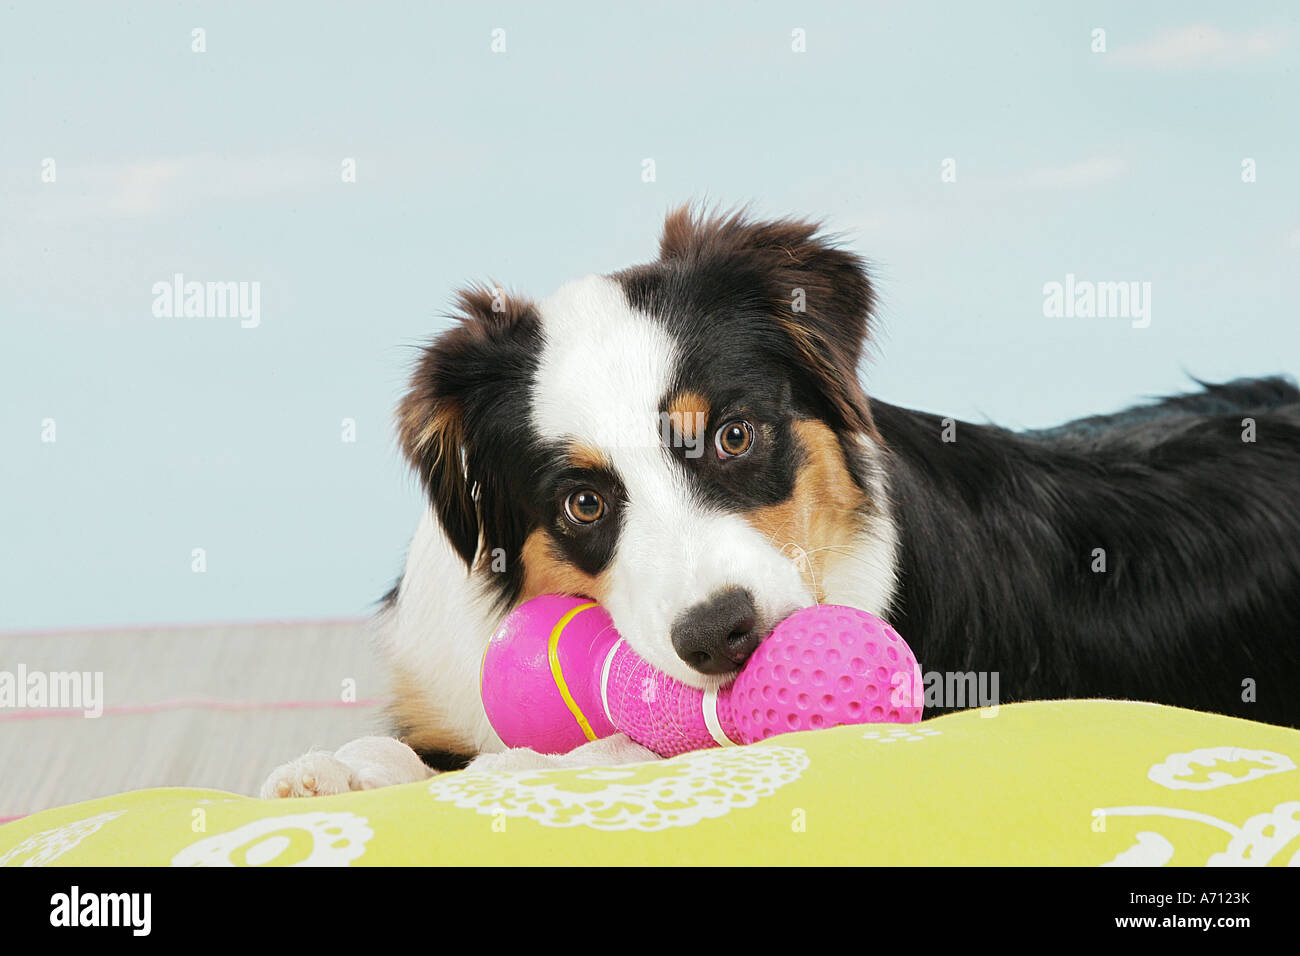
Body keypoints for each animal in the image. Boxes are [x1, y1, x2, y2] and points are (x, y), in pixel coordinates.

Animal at [261, 209, 1300, 801]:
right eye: (585, 502)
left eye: (734, 436)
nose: (722, 634)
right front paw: (347, 767)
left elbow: (632, 750)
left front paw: (517, 771)